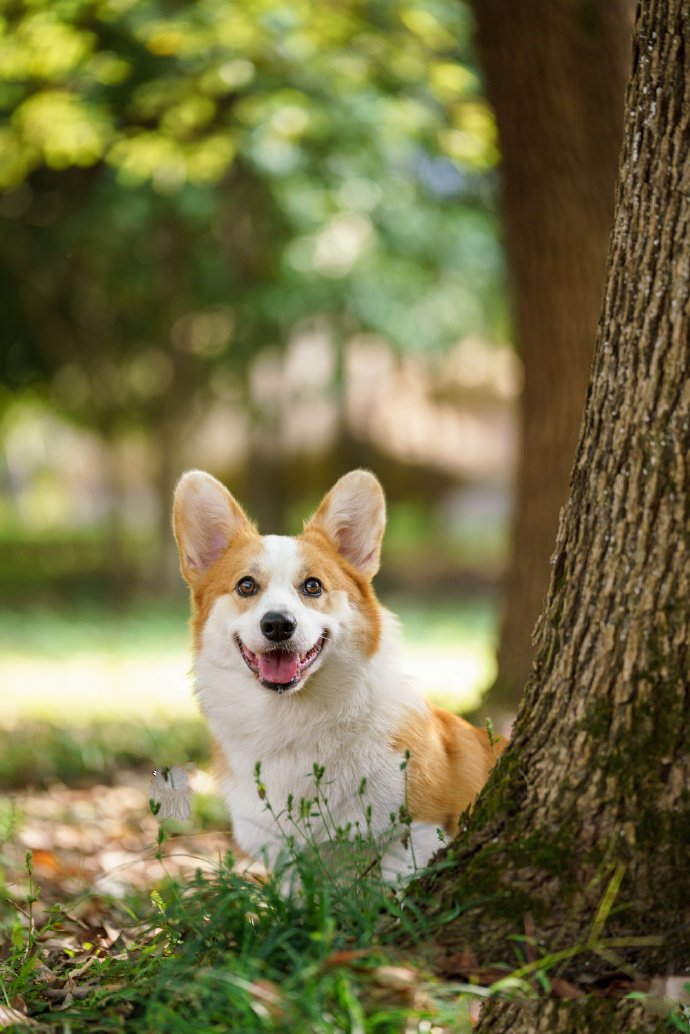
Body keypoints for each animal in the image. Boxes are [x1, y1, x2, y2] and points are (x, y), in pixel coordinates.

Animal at [172, 471, 504, 880]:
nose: (278, 624)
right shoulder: (288, 863)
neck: (292, 719)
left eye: (312, 586)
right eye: (246, 586)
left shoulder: (417, 835)